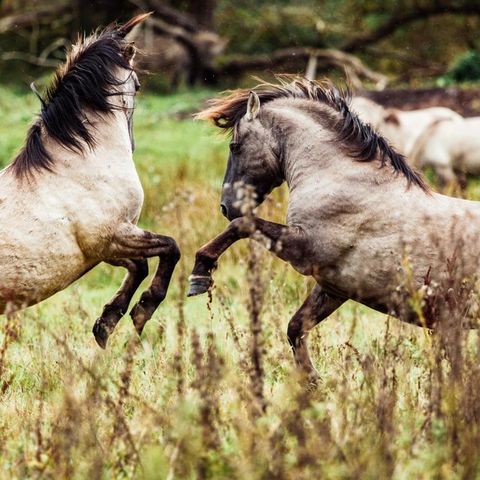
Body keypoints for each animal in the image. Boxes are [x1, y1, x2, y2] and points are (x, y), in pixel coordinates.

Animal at [0, 12, 180, 348]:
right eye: (137, 85)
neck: (78, 162)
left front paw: (106, 324)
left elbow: (139, 266)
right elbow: (170, 249)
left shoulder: (104, 250)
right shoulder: (113, 237)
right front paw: (141, 311)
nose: (132, 145)